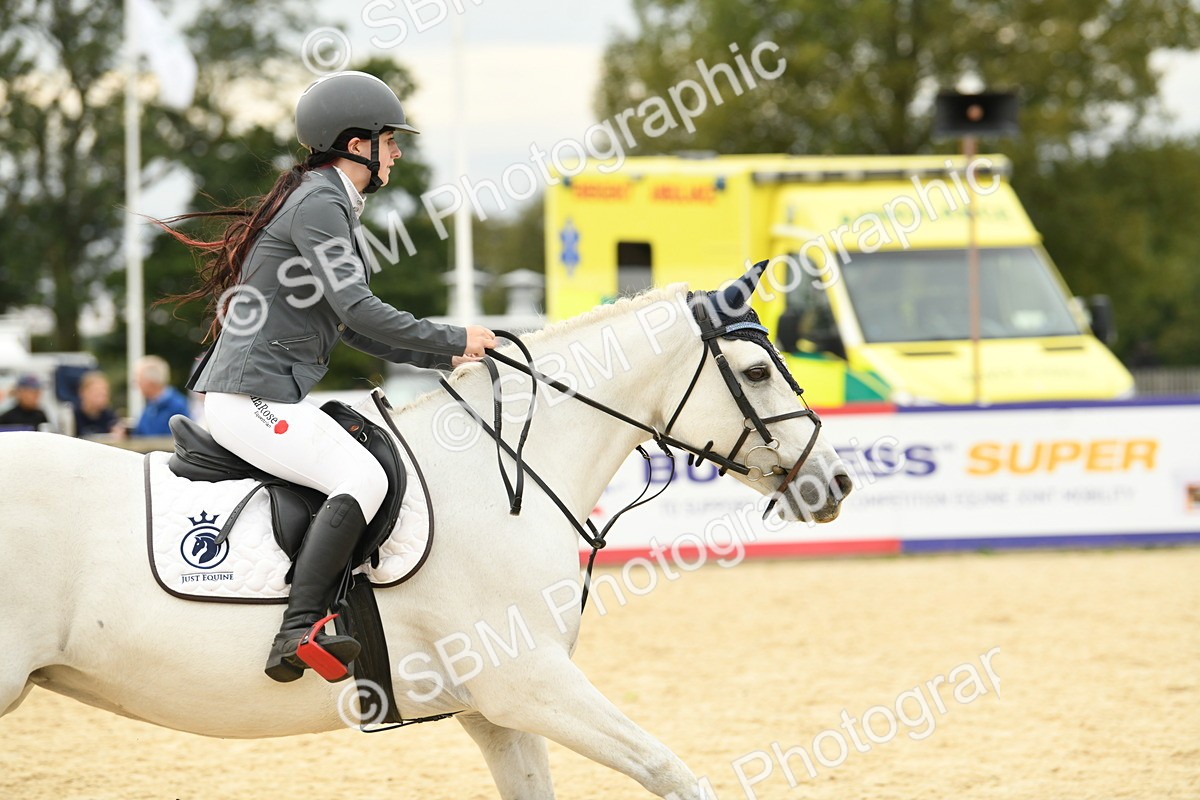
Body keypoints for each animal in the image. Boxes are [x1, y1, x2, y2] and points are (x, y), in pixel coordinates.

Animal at [0, 272, 851, 799]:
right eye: (758, 371)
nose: (836, 481)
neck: (499, 476)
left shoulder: (496, 710)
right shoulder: (531, 684)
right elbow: (672, 771)